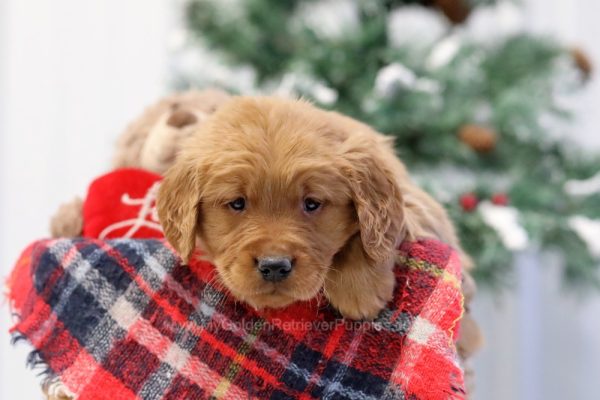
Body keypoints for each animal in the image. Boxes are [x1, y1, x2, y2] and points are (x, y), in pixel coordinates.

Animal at [156, 98, 464, 320]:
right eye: (237, 203)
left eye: (312, 204)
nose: (274, 266)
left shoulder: (420, 208)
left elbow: (365, 236)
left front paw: (360, 291)